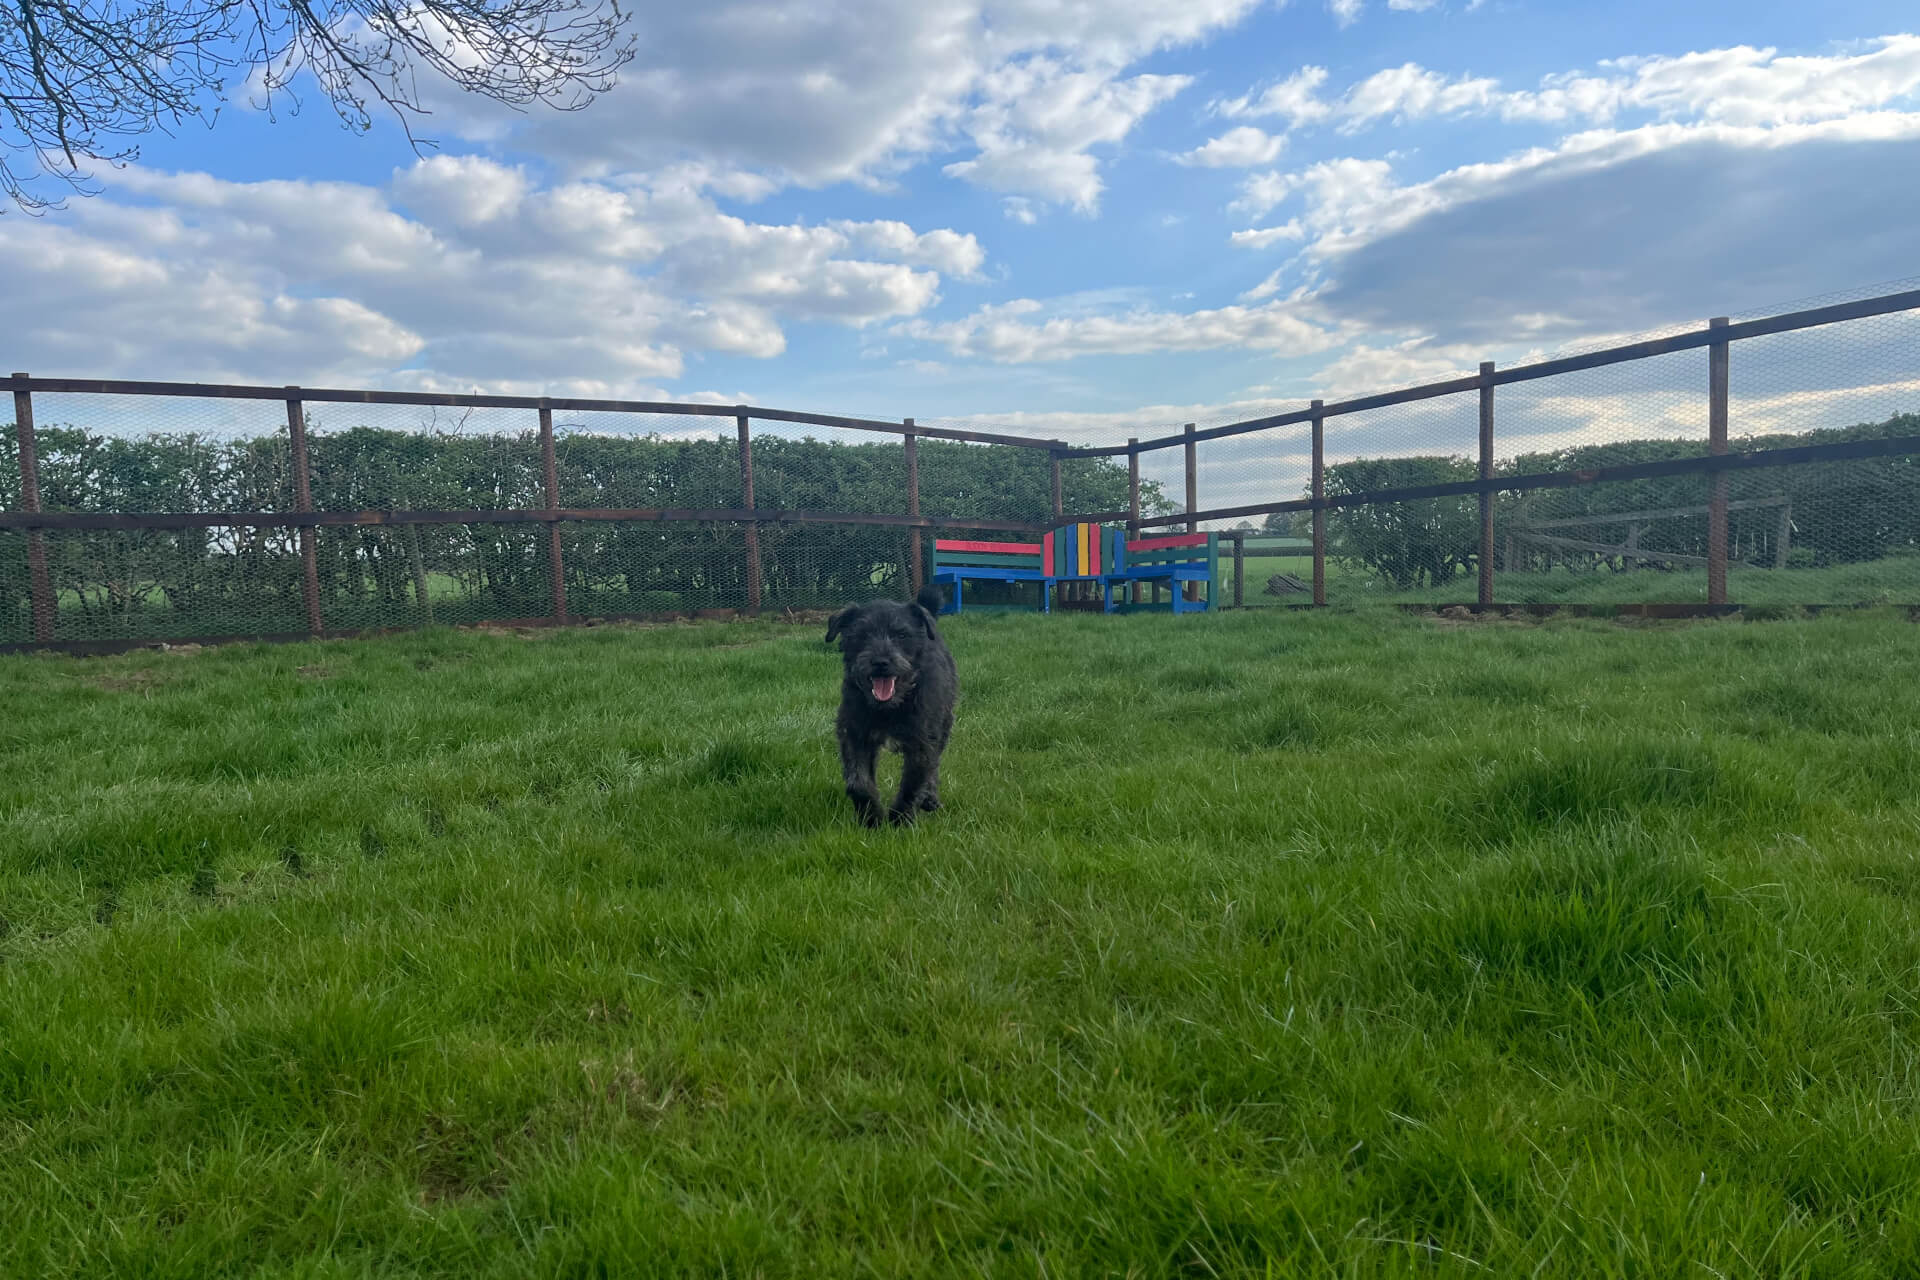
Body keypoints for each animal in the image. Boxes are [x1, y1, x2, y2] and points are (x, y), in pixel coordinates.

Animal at [825, 587, 960, 825]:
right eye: (863, 634)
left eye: (902, 635)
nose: (881, 662)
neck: (889, 707)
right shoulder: (854, 735)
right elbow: (858, 781)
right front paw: (871, 819)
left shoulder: (922, 743)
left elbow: (913, 784)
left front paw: (900, 821)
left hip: (944, 725)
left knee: (935, 765)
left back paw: (930, 798)